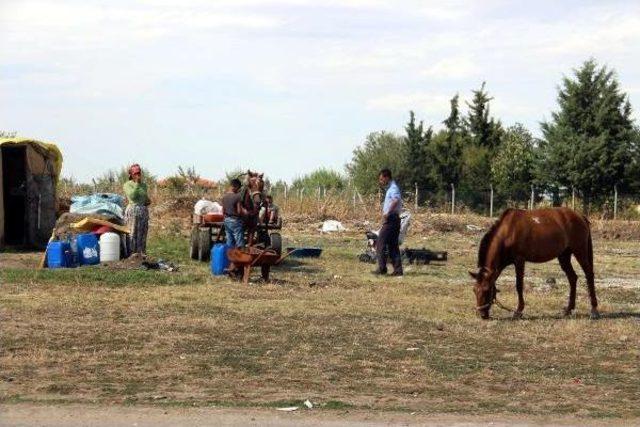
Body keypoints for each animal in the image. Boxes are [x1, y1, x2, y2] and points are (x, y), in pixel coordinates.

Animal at [470, 207, 600, 320]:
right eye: (474, 290)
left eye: (487, 290)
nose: (481, 314)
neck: (508, 232)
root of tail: (580, 216)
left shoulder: (519, 260)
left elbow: (519, 285)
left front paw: (518, 311)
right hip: (564, 255)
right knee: (572, 278)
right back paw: (568, 310)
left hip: (579, 251)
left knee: (589, 274)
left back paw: (594, 310)